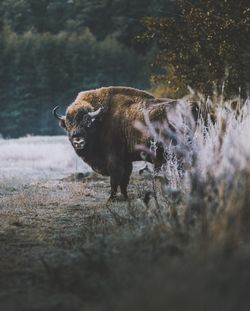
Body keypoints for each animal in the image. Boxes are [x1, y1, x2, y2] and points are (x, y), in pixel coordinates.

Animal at [52, 86, 193, 201]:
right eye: (68, 124)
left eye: (87, 123)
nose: (78, 140)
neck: (101, 120)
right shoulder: (126, 160)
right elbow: (124, 179)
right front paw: (125, 197)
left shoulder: (114, 158)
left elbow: (115, 178)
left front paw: (111, 198)